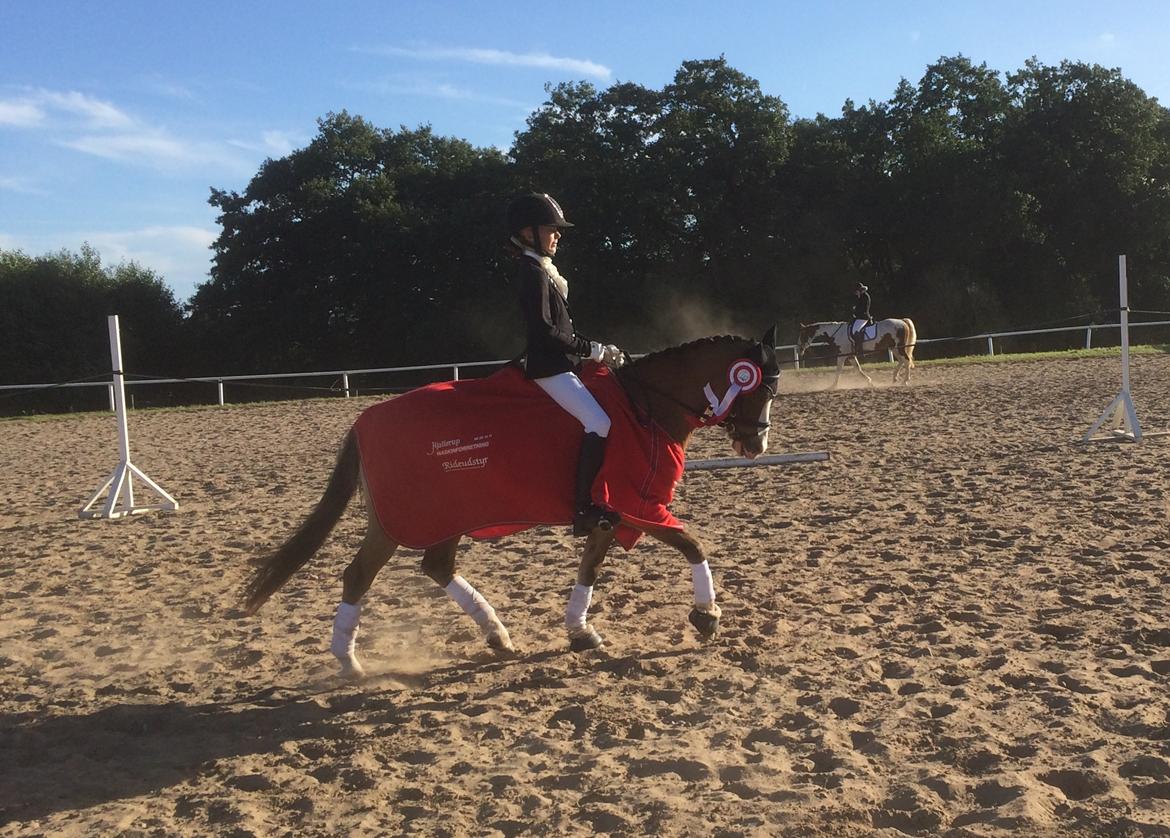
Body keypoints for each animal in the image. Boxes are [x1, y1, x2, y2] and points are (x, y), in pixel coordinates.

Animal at [242, 327, 781, 677]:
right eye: (759, 389)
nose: (755, 446)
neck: (644, 406)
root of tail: (363, 420)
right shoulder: (637, 506)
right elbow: (692, 543)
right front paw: (707, 616)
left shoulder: (607, 514)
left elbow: (589, 567)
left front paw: (579, 631)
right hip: (402, 521)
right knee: (360, 575)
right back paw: (349, 661)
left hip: (446, 516)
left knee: (436, 566)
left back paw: (497, 636)